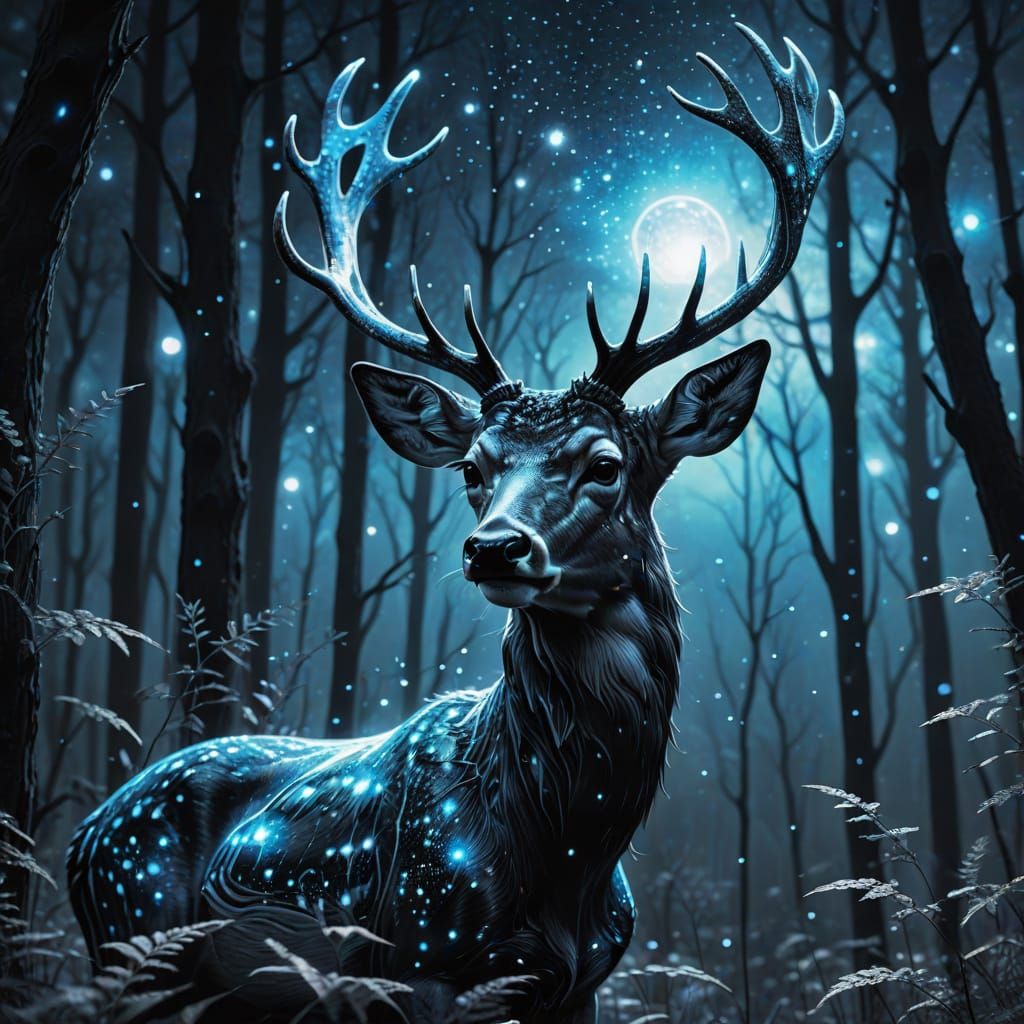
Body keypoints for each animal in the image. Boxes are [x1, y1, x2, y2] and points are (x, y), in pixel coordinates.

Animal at [68, 25, 842, 1023]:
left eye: (606, 464)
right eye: (474, 469)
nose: (495, 548)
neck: (568, 854)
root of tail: (82, 832)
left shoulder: (586, 981)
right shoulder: (424, 958)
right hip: (133, 940)